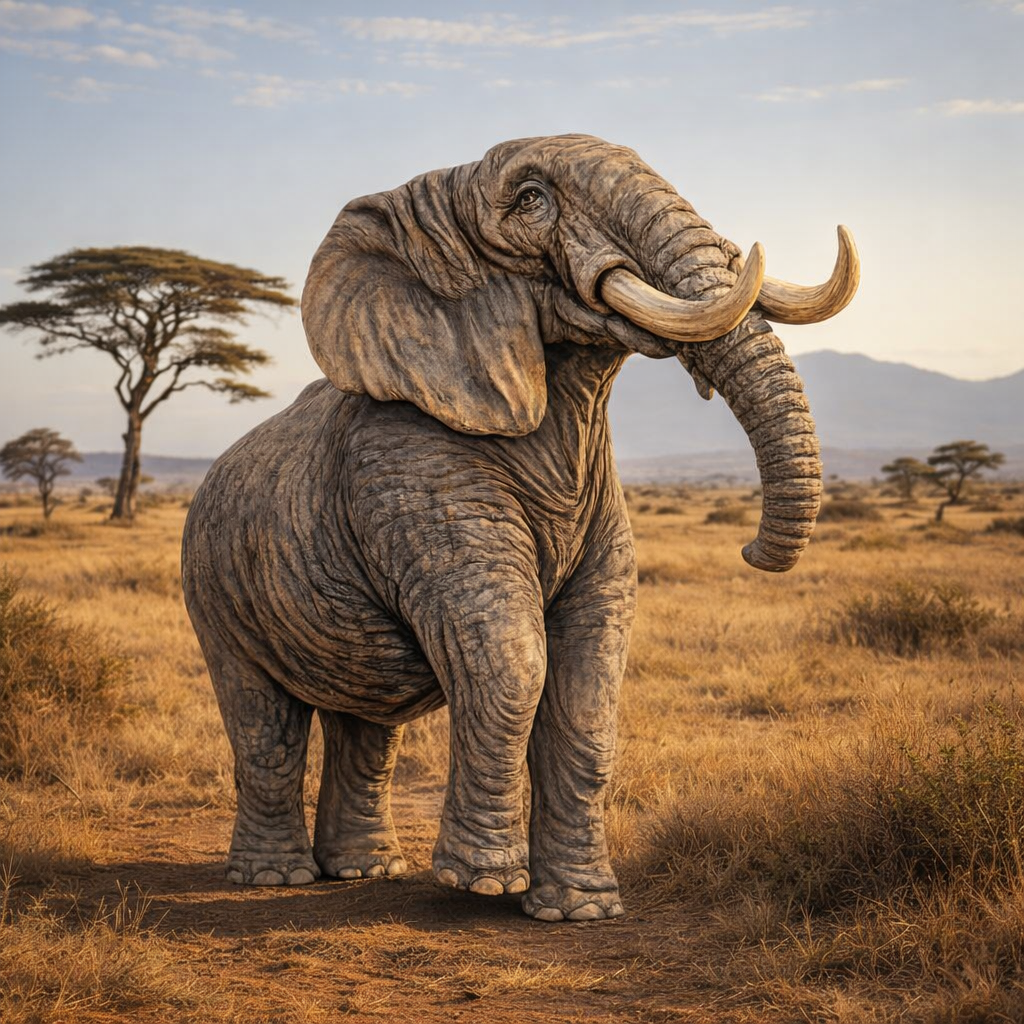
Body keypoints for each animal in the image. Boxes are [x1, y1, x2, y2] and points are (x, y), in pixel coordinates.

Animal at [181, 134, 859, 922]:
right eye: (532, 200)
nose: (749, 550)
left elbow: (591, 686)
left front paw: (581, 910)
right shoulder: (409, 472)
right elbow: (510, 660)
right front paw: (482, 886)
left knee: (367, 725)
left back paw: (361, 871)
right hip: (213, 584)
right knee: (265, 723)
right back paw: (276, 879)